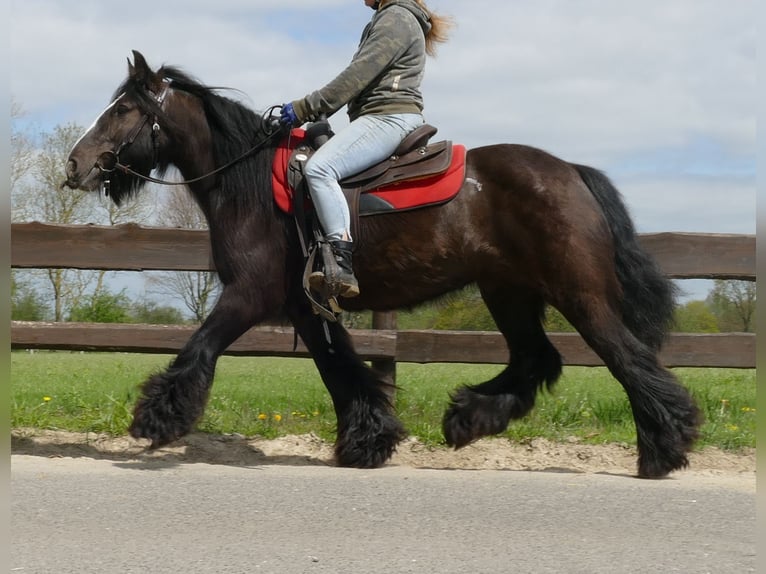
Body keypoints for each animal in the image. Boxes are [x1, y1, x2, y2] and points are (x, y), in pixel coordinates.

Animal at [66, 51, 704, 480]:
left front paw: (157, 418)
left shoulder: (249, 294)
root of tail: (570, 171)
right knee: (536, 360)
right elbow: (342, 371)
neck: (249, 185)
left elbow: (199, 348)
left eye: (124, 109)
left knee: (626, 358)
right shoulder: (306, 306)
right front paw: (368, 442)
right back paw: (467, 419)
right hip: (508, 292)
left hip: (578, 293)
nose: (76, 164)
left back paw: (664, 448)